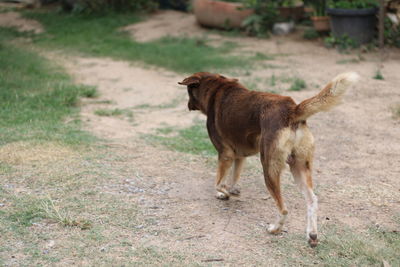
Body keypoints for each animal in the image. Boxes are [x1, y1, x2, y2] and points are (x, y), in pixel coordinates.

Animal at [178, 71, 360, 247]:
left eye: (188, 92)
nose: (187, 105)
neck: (217, 88)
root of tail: (291, 109)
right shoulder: (239, 157)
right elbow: (233, 177)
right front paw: (232, 190)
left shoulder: (225, 154)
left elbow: (219, 183)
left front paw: (226, 193)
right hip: (299, 168)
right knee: (312, 200)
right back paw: (312, 235)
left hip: (269, 168)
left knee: (283, 209)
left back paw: (275, 228)